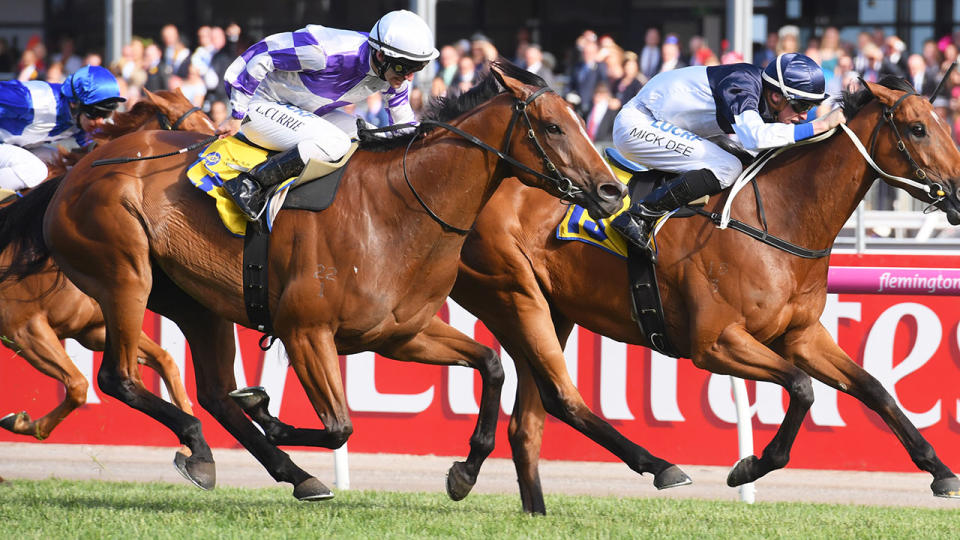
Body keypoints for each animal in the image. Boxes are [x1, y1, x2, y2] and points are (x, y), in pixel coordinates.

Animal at [0, 63, 632, 502]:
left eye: (582, 121)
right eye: (553, 125)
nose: (610, 191)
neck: (400, 207)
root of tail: (76, 173)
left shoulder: (399, 334)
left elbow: (493, 364)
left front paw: (464, 472)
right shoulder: (307, 331)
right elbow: (340, 426)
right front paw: (269, 409)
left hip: (193, 300)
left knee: (210, 393)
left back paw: (255, 464)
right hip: (123, 272)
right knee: (118, 377)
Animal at [454, 78, 960, 512]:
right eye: (918, 129)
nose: (957, 190)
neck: (779, 217)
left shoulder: (801, 336)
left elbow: (875, 389)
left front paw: (940, 471)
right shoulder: (715, 343)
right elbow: (801, 387)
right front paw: (749, 467)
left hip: (552, 310)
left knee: (529, 421)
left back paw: (529, 506)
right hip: (512, 293)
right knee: (556, 395)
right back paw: (656, 467)